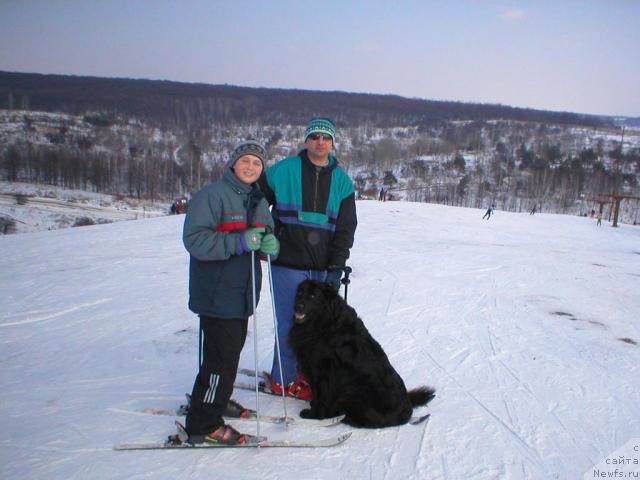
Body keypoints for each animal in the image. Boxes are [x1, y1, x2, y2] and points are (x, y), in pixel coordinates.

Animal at [288, 278, 436, 428]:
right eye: (299, 293)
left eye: (313, 296)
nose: (297, 306)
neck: (325, 322)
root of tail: (406, 411)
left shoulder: (323, 370)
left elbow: (321, 395)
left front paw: (314, 414)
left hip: (351, 393)